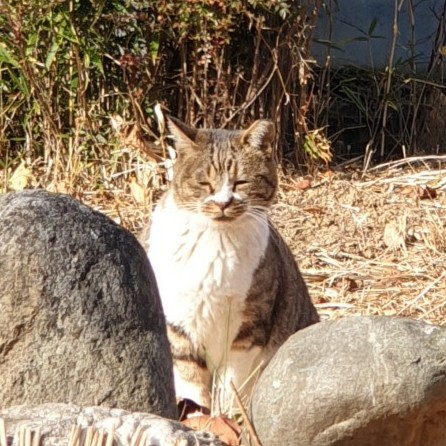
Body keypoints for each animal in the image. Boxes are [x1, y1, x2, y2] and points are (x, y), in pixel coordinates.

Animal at [141, 115, 318, 412]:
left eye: (241, 182)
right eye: (204, 184)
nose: (223, 203)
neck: (216, 244)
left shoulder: (248, 329)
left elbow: (232, 381)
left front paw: (227, 414)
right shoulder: (176, 322)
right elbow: (190, 378)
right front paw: (198, 412)